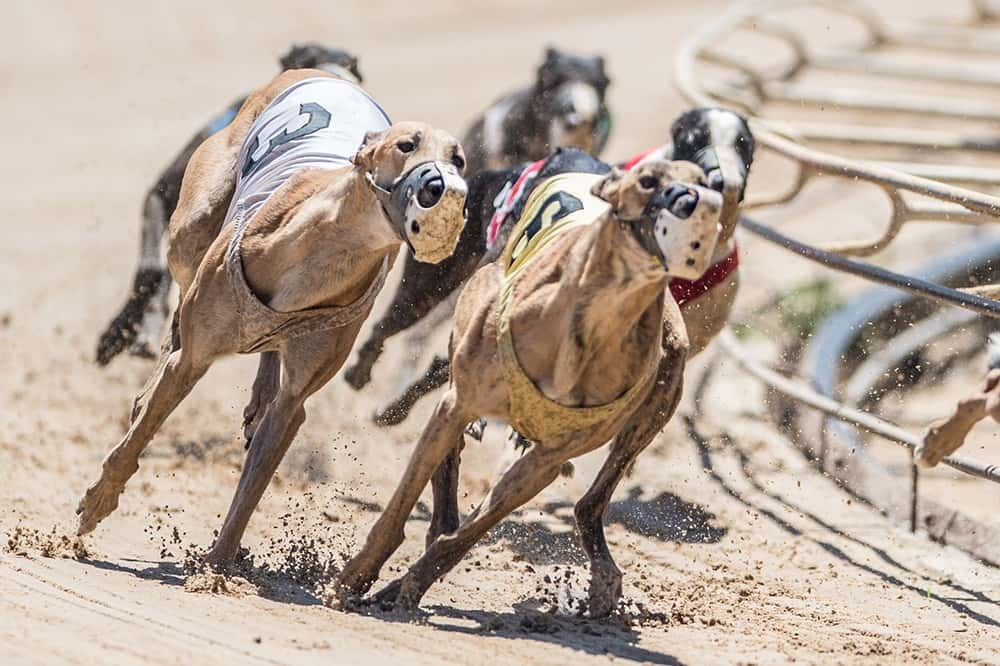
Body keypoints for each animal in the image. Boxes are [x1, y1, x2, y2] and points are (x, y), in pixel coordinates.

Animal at [340, 150, 724, 612]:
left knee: (588, 505)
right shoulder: (458, 403)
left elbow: (468, 533)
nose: (691, 202)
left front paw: (408, 584)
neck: (590, 328)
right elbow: (402, 504)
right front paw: (356, 577)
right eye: (647, 180)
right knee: (397, 339)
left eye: (706, 181)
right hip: (432, 295)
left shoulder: (546, 460)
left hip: (656, 404)